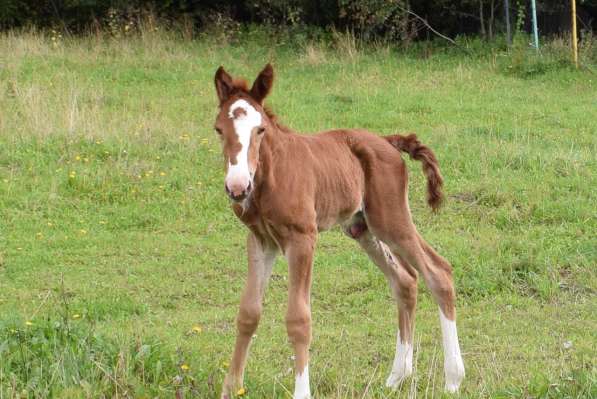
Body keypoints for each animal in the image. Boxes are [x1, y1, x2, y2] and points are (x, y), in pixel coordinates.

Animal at [212, 64, 464, 398]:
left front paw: (301, 392)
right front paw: (231, 388)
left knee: (438, 272)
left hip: (391, 220)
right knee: (406, 280)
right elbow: (248, 313)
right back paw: (397, 377)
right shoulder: (260, 240)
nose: (238, 187)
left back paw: (453, 379)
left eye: (260, 129)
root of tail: (387, 140)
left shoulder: (302, 237)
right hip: (363, 228)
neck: (272, 174)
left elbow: (299, 319)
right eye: (219, 129)